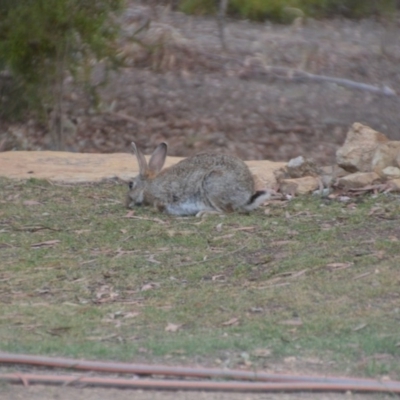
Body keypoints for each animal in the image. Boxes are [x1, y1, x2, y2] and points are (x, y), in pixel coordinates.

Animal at [126, 141, 274, 216]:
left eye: (130, 184)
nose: (126, 203)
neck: (148, 186)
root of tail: (246, 196)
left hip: (213, 185)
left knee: (226, 212)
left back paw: (203, 213)